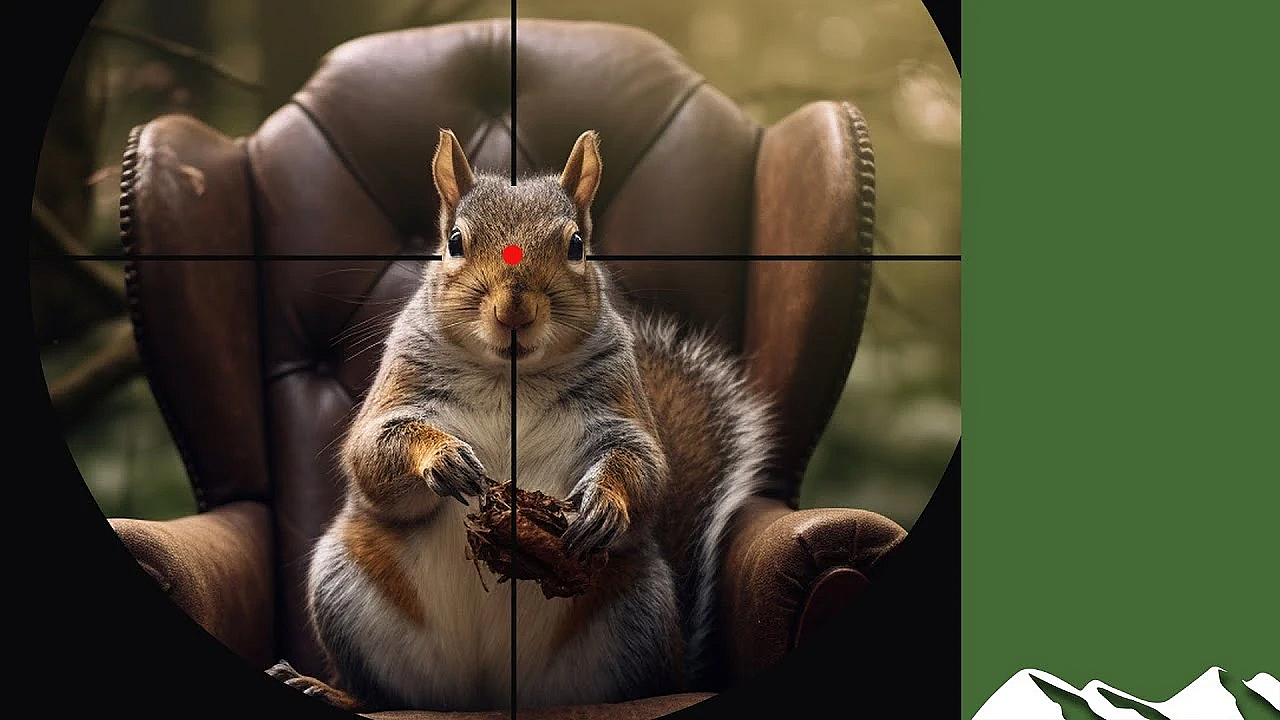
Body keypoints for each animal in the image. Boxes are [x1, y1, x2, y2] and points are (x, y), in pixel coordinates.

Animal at [266, 129, 778, 712]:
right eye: (455, 242)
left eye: (576, 245)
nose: (514, 310)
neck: (507, 377)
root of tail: (486, 694)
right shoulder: (400, 388)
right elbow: (372, 454)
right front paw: (441, 457)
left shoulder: (618, 406)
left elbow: (643, 465)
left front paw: (605, 502)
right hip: (344, 586)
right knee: (379, 695)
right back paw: (327, 690)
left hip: (639, 612)